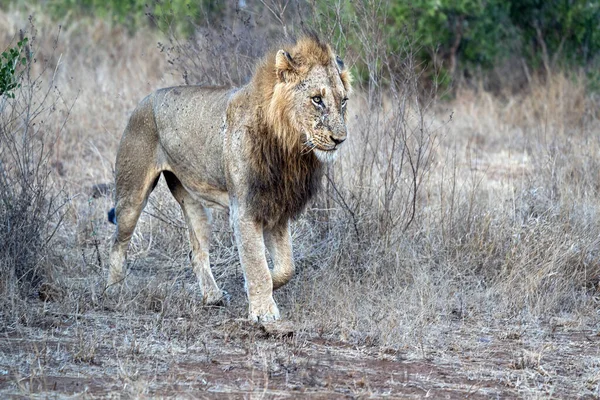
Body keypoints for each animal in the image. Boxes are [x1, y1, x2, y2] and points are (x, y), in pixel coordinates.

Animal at [107, 33, 352, 322]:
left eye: (343, 101)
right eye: (316, 99)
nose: (340, 139)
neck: (289, 147)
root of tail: (145, 99)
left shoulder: (276, 207)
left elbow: (286, 267)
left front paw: (260, 287)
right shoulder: (245, 208)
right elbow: (256, 262)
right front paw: (263, 311)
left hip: (194, 203)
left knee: (196, 251)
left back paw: (212, 297)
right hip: (132, 194)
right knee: (118, 242)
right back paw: (113, 290)